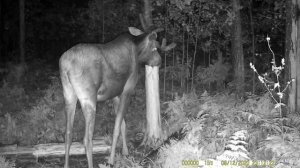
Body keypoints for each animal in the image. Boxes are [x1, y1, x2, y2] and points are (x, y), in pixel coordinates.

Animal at [59, 26, 175, 168]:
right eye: (154, 48)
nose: (159, 61)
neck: (137, 51)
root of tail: (65, 66)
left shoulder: (113, 95)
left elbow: (123, 125)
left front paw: (125, 151)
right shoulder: (127, 89)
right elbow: (117, 127)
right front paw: (111, 160)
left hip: (68, 94)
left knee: (68, 134)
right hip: (88, 98)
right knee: (87, 139)